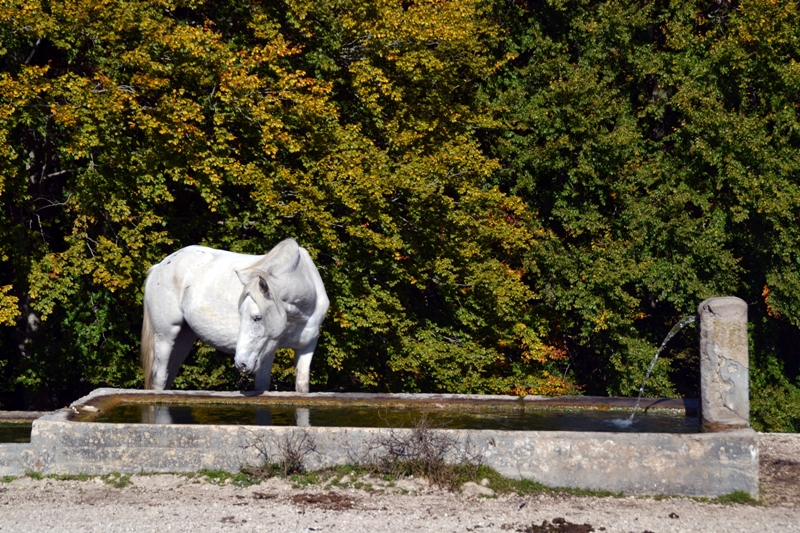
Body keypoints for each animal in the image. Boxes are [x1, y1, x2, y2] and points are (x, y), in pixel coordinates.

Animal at [140, 238, 329, 392]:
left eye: (257, 317)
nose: (241, 363)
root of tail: (160, 266)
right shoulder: (268, 349)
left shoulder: (307, 347)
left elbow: (302, 387)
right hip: (165, 336)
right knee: (160, 377)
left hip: (184, 339)